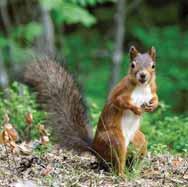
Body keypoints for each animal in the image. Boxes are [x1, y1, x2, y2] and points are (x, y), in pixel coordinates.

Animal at [24, 45, 158, 175]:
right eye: (132, 65)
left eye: (153, 65)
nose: (143, 75)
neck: (141, 87)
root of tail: (94, 148)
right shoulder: (120, 91)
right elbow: (119, 102)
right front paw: (136, 109)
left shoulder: (152, 89)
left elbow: (155, 97)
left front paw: (153, 106)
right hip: (115, 139)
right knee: (118, 161)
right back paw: (122, 175)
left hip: (138, 140)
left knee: (138, 150)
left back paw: (135, 171)